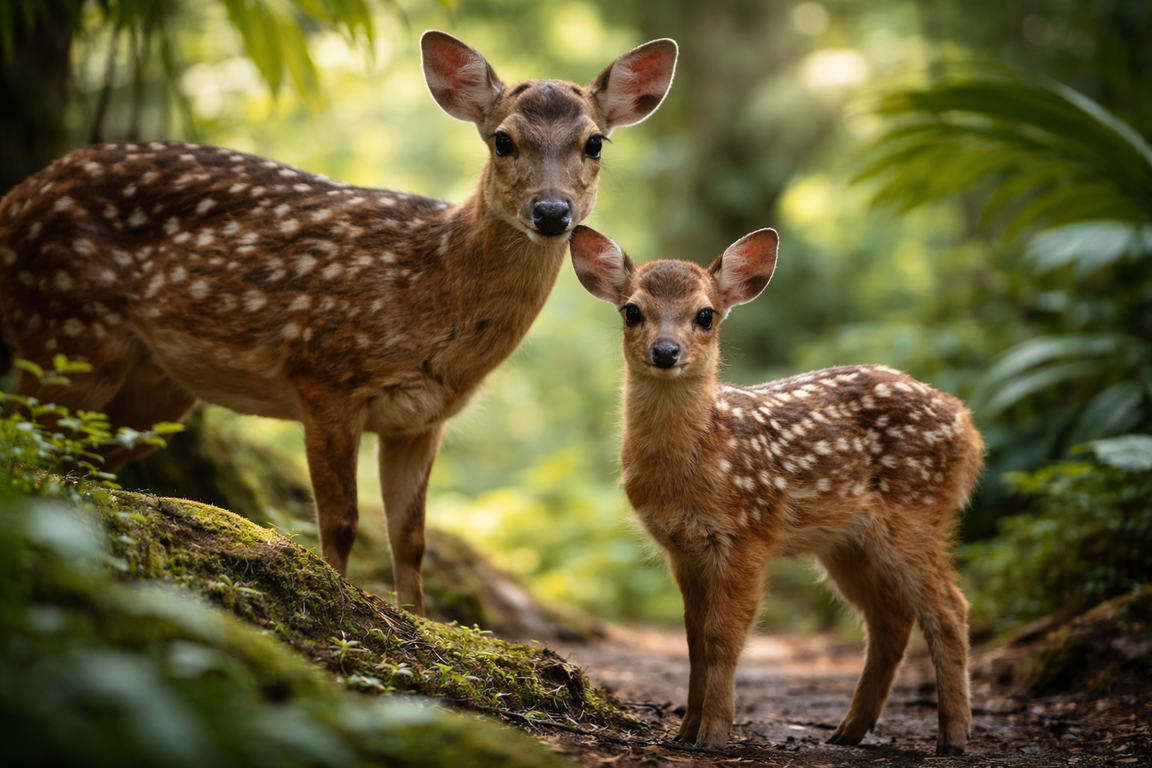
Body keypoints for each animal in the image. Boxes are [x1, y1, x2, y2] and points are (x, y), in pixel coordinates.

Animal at [0, 31, 678, 616]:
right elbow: (342, 520)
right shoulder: (323, 372)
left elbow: (412, 539)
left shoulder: (421, 417)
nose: (552, 211)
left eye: (595, 143)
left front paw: (421, 624)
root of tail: (14, 198)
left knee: (80, 457)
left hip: (153, 386)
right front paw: (339, 601)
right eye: (503, 140)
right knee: (27, 440)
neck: (429, 290)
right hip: (66, 331)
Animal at [569, 225, 983, 756]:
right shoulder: (682, 549)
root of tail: (967, 426)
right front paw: (684, 731)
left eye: (705, 315)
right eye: (632, 311)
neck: (695, 464)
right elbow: (693, 638)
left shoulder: (748, 534)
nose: (665, 352)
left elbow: (723, 636)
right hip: (845, 543)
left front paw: (713, 735)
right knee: (890, 618)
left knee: (949, 609)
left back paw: (953, 736)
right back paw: (848, 730)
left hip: (916, 512)